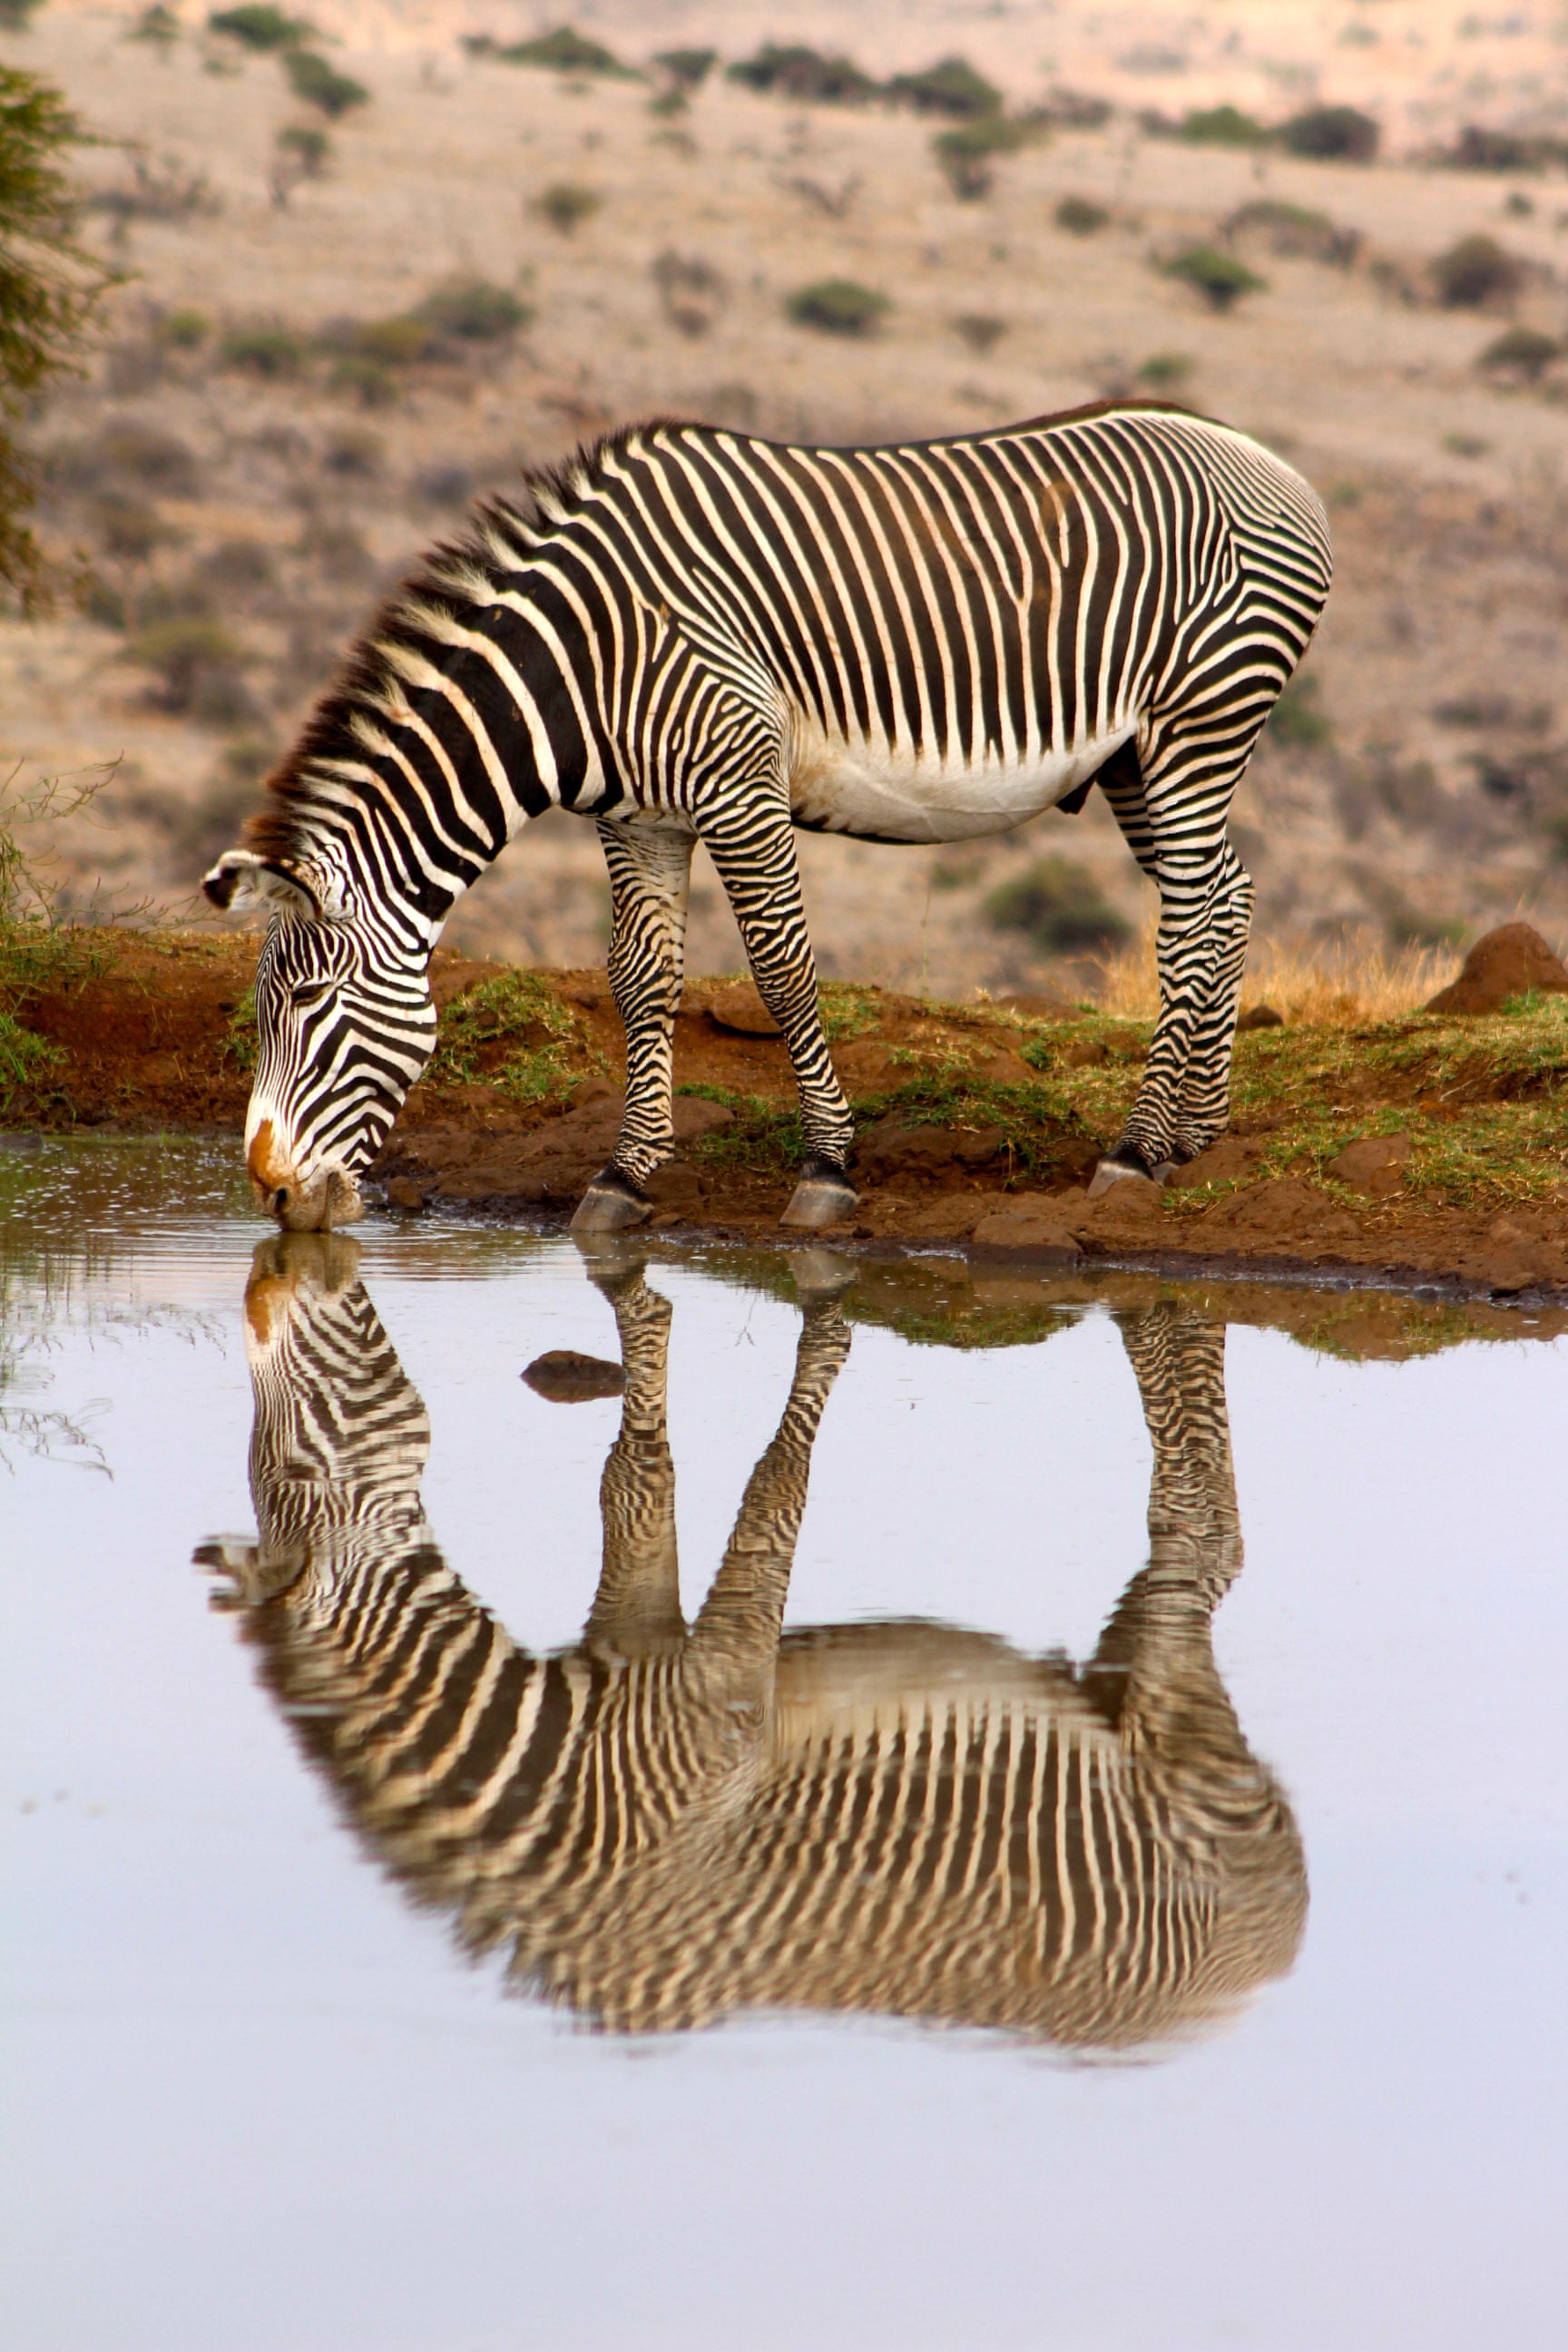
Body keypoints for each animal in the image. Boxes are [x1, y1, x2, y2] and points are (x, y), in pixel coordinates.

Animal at [192, 407, 1326, 1241]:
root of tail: (1270, 461)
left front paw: (827, 1169)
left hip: (1197, 723)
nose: (273, 1197)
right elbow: (640, 980)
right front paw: (623, 1178)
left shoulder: (740, 789)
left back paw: (1135, 1151)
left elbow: (782, 971)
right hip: (1137, 756)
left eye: (312, 1005)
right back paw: (1197, 1137)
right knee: (1226, 896)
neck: (588, 658)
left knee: (1191, 918)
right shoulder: (641, 819)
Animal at [201, 1260, 1307, 2051]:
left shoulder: (720, 1699)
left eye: (293, 1455)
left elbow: (773, 1489)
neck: (573, 1775)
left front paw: (828, 1333)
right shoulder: (632, 1640)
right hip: (1113, 1683)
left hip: (1181, 1726)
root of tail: (1263, 1967)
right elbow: (633, 1485)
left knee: (1203, 1562)